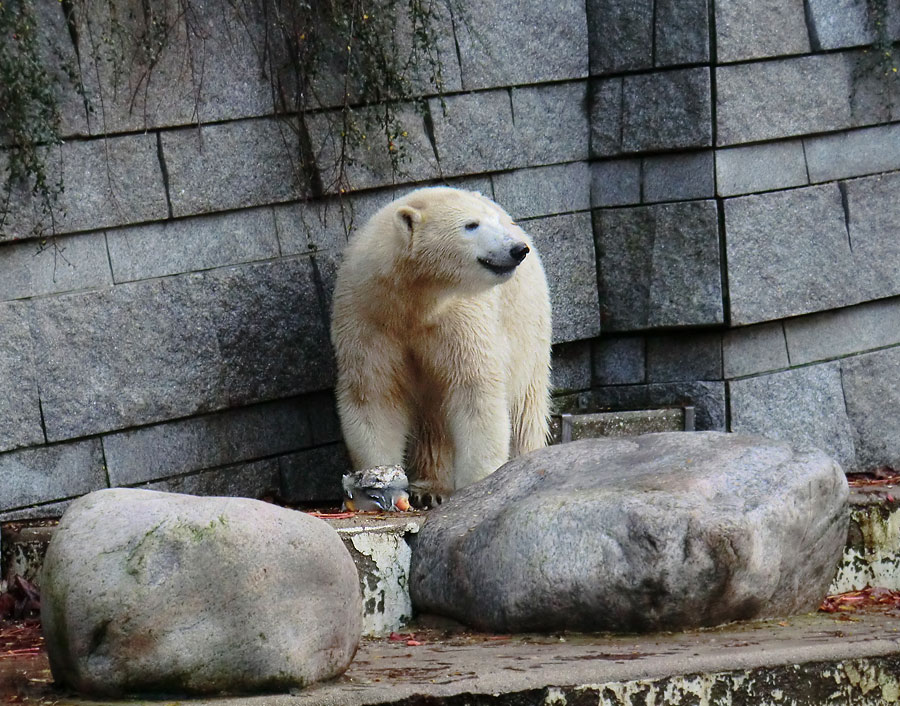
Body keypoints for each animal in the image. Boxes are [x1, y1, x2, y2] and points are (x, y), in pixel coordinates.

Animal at [330, 184, 552, 504]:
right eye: (471, 225)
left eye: (493, 222)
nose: (516, 249)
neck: (414, 298)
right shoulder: (367, 317)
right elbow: (373, 394)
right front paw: (377, 481)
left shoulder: (459, 318)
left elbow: (475, 390)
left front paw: (480, 484)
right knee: (432, 423)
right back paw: (430, 488)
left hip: (528, 328)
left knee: (525, 408)